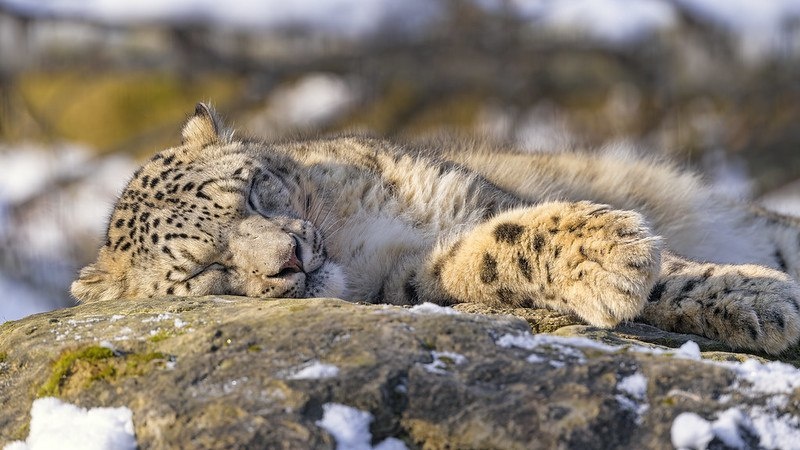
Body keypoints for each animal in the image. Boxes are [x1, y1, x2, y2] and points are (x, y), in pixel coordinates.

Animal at [72, 103, 800, 355]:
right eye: (204, 269)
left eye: (251, 190)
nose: (292, 257)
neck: (353, 234)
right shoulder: (409, 284)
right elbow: (494, 251)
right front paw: (613, 262)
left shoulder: (470, 196)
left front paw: (760, 295)